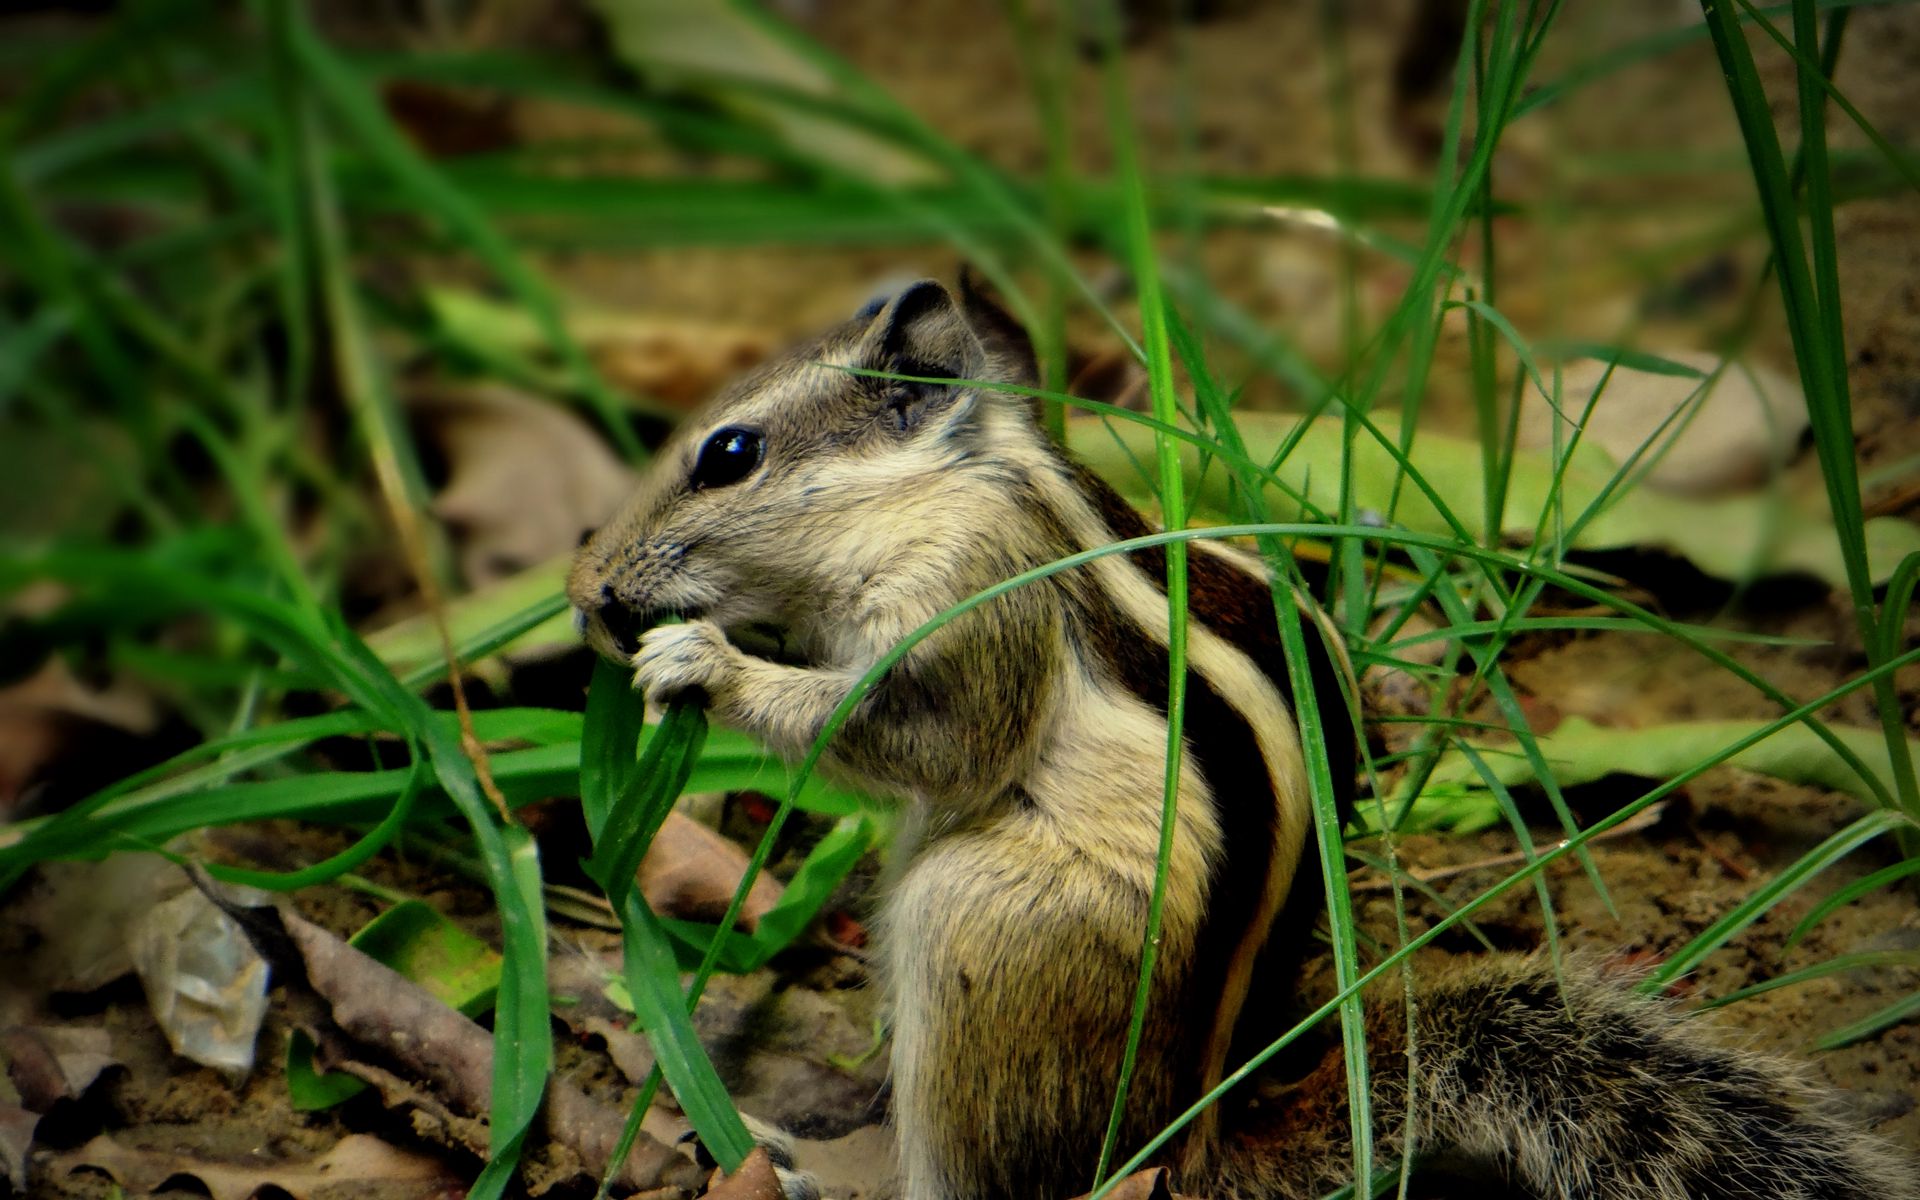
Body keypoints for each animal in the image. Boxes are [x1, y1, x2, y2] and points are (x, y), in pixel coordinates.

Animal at [560, 276, 1912, 1190]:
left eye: (730, 453)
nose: (588, 595)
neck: (963, 479)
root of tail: (1189, 1136)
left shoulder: (968, 598)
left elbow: (926, 742)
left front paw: (699, 660)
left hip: (975, 930)